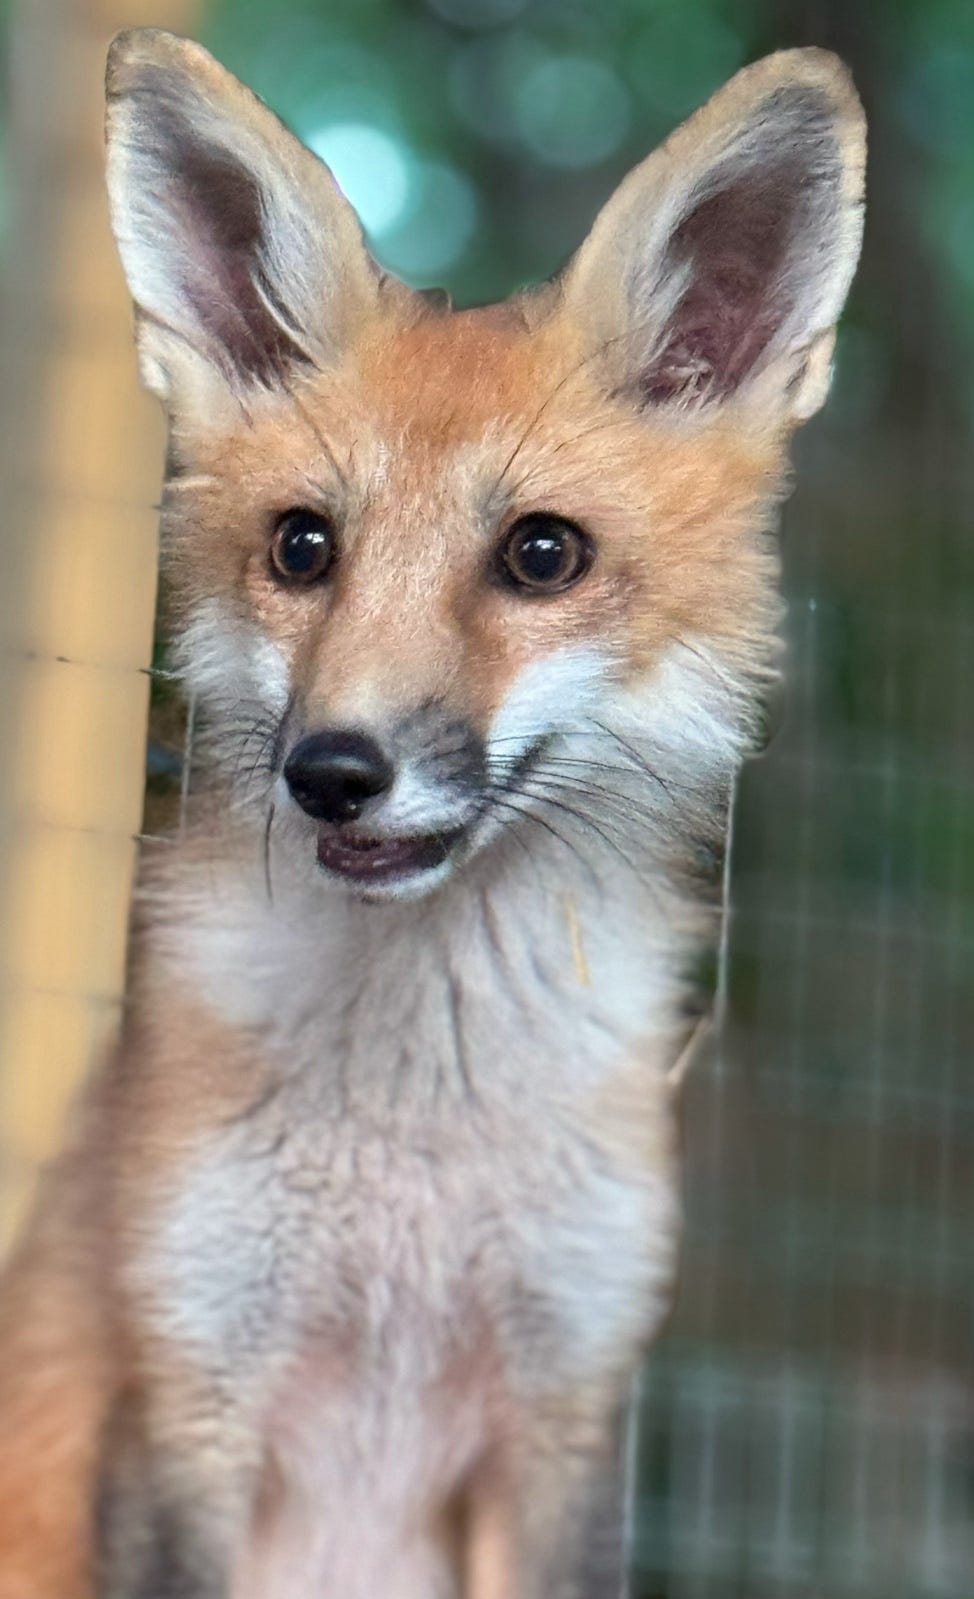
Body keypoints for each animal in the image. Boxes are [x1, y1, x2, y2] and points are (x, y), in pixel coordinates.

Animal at [0, 31, 863, 1599]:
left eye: (541, 554)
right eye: (302, 546)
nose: (332, 770)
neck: (419, 1159)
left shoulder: (565, 1411)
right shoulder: (184, 1395)